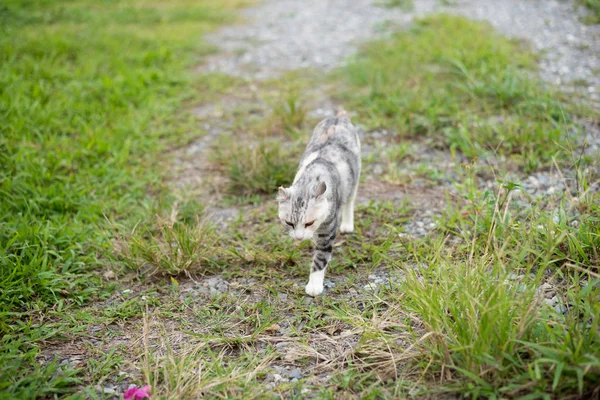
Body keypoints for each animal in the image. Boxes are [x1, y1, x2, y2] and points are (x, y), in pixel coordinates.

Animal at [278, 111, 360, 296]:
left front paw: (314, 285)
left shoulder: (327, 228)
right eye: (289, 223)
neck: (311, 178)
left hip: (355, 179)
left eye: (309, 222)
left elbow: (320, 258)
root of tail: (338, 116)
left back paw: (347, 224)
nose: (299, 237)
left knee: (350, 200)